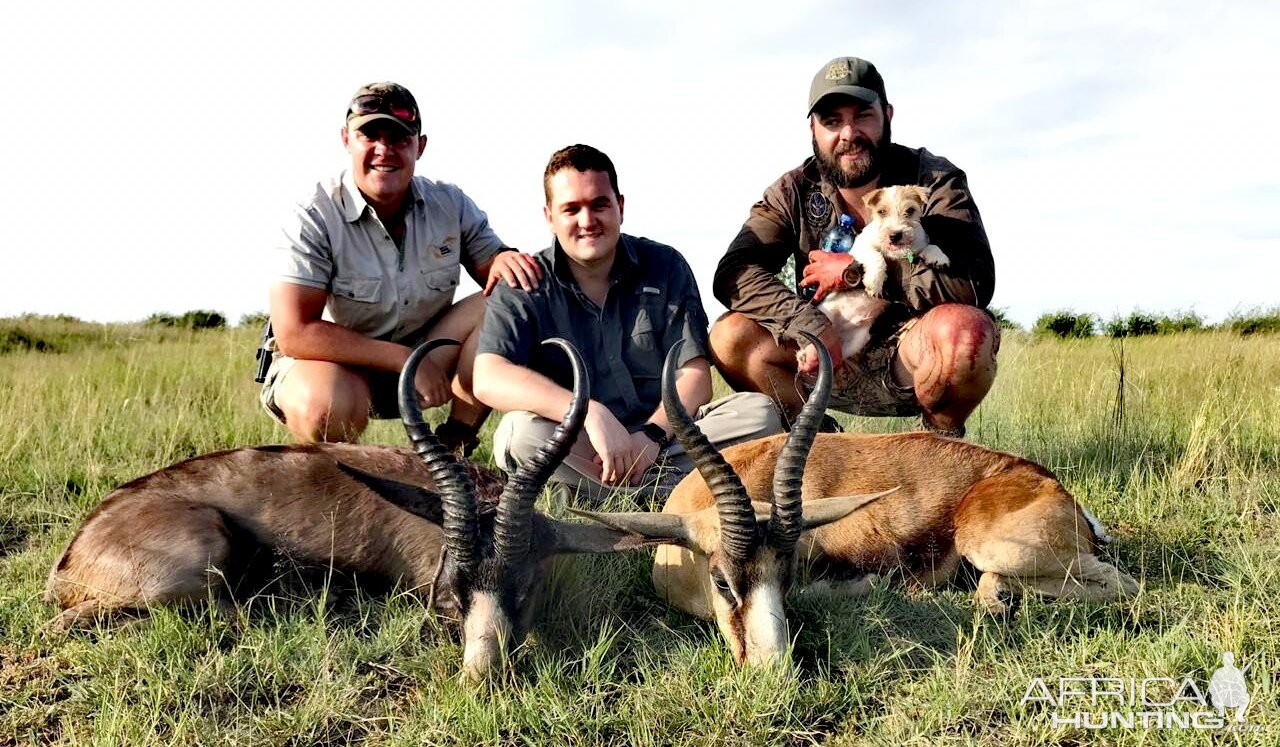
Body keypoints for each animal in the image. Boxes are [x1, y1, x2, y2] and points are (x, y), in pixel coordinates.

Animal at [798, 186, 952, 368]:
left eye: (910, 210)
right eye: (881, 212)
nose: (895, 235)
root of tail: (840, 329)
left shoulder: (917, 248)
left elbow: (930, 246)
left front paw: (940, 258)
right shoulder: (860, 248)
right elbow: (876, 256)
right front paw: (874, 282)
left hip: (855, 342)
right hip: (825, 316)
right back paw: (803, 355)